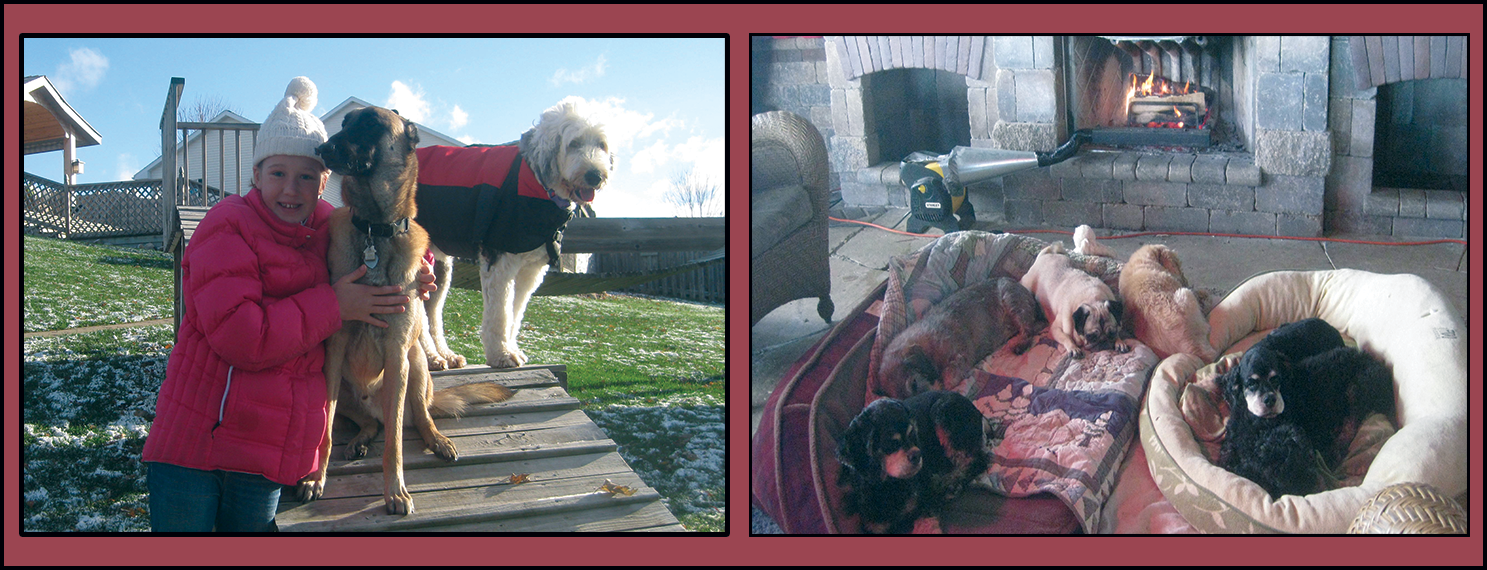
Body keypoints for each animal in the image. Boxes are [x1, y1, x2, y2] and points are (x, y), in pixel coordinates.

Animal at [295, 104, 517, 514]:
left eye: (371, 123)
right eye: (345, 124)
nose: (321, 148)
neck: (374, 231)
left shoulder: (398, 352)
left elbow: (396, 441)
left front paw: (395, 489)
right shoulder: (334, 354)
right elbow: (325, 428)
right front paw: (316, 478)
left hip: (415, 362)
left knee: (418, 417)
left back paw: (437, 439)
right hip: (351, 390)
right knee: (369, 423)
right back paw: (361, 439)